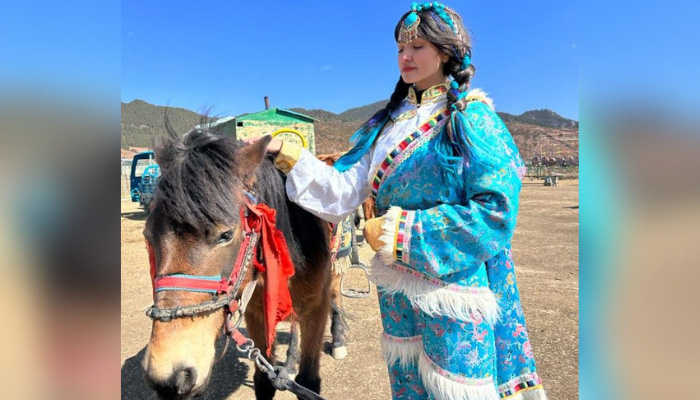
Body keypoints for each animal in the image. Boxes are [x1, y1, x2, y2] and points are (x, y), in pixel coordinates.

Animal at [141, 122, 332, 400]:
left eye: (227, 234)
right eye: (148, 235)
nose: (169, 377)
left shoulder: (316, 310)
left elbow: (308, 382)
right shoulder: (255, 313)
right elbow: (264, 381)